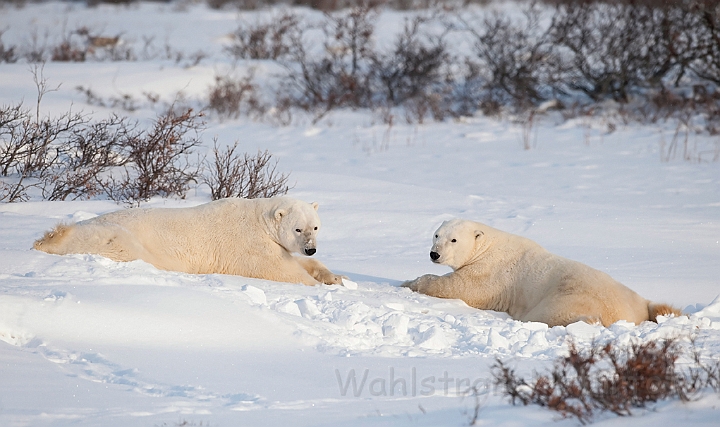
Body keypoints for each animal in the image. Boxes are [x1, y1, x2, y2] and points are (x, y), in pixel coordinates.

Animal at [35, 198, 344, 288]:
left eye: (316, 226)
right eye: (297, 228)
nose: (311, 247)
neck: (260, 218)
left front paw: (335, 277)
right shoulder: (248, 245)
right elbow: (277, 269)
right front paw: (318, 285)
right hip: (113, 237)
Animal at [404, 221, 680, 328]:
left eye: (453, 239)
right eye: (436, 235)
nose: (434, 254)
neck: (486, 246)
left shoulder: (491, 272)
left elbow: (461, 288)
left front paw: (409, 281)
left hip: (566, 298)